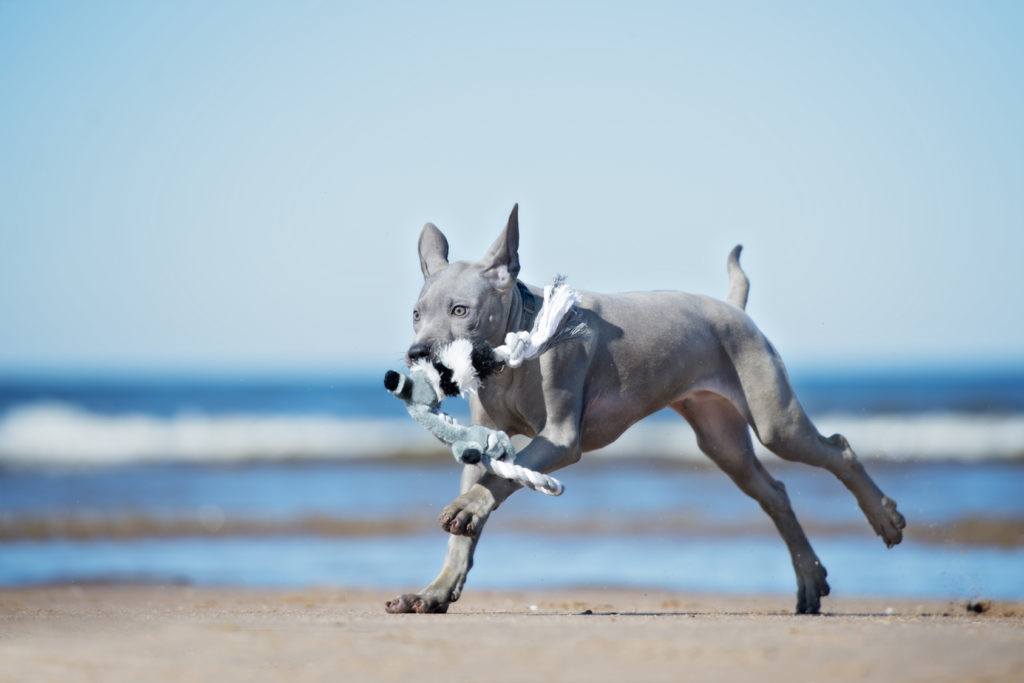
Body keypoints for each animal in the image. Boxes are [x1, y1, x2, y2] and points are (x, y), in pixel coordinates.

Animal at [387, 205, 909, 618]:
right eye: (416, 313)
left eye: (460, 310)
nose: (416, 354)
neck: (513, 349)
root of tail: (732, 307)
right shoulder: (483, 440)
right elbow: (472, 514)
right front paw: (434, 592)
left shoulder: (560, 438)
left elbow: (500, 483)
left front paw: (465, 508)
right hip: (721, 439)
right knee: (775, 493)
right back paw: (810, 579)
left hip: (776, 421)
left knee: (838, 449)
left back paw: (883, 519)